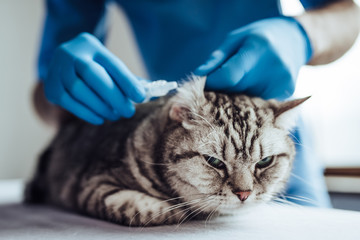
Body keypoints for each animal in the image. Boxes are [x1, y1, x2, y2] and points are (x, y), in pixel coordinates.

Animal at [25, 75, 308, 227]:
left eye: (265, 161)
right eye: (214, 161)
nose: (244, 194)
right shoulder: (91, 184)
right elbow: (142, 210)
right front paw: (177, 210)